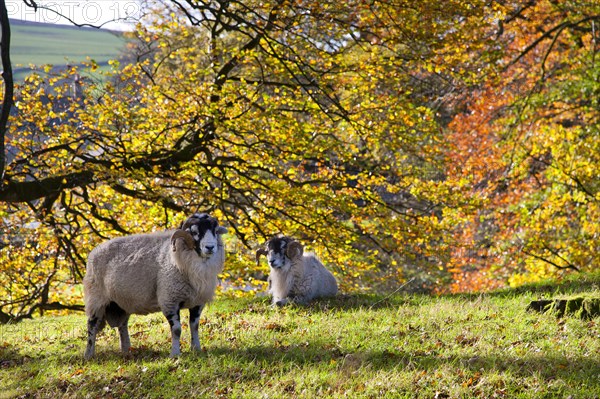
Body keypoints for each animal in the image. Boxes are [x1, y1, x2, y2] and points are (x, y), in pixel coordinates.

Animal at [82, 212, 227, 360]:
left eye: (215, 231)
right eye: (194, 232)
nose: (210, 247)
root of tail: (94, 252)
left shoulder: (197, 302)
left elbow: (194, 326)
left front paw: (196, 349)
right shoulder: (169, 300)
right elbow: (177, 329)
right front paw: (175, 354)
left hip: (122, 302)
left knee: (122, 325)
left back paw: (126, 350)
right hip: (96, 298)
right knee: (92, 326)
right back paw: (89, 354)